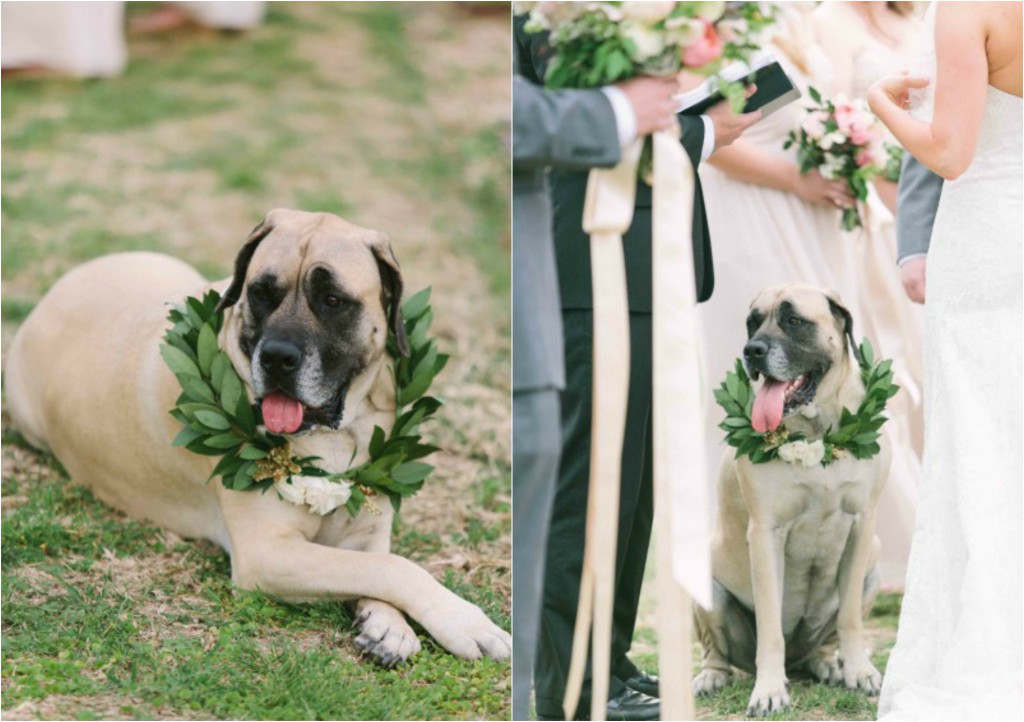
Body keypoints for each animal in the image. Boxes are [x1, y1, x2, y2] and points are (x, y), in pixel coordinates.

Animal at [2, 206, 509, 663]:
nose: (278, 357)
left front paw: (386, 624)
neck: (335, 435)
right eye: (262, 293)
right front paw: (467, 623)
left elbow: (378, 564)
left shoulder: (367, 527)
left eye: (332, 300)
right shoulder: (269, 555)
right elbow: (392, 567)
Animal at [696, 282, 888, 716]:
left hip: (873, 569)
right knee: (717, 650)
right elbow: (770, 628)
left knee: (826, 640)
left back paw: (828, 664)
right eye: (752, 323)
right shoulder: (767, 532)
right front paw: (769, 690)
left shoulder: (862, 523)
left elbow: (850, 618)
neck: (817, 434)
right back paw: (711, 676)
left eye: (794, 320)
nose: (752, 350)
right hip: (707, 587)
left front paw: (859, 670)